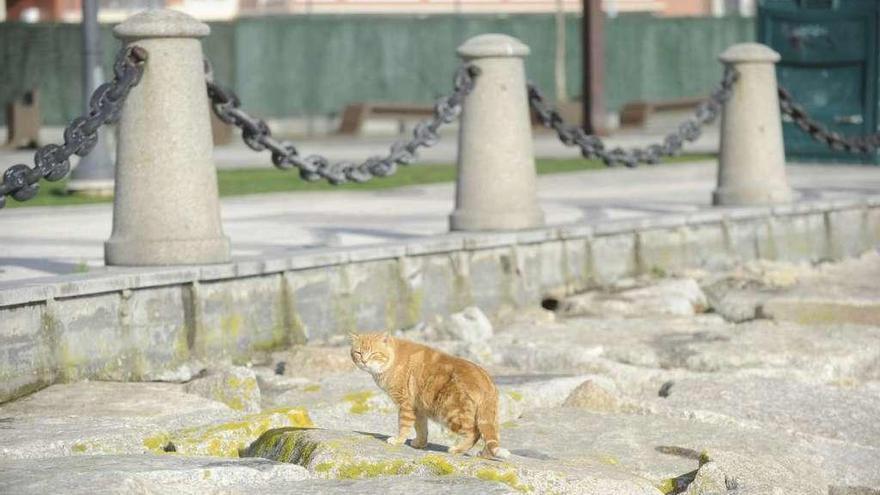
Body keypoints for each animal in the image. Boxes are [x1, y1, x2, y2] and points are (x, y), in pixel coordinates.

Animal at [348, 332, 508, 460]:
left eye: (374, 353)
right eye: (358, 353)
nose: (364, 361)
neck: (392, 361)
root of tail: (486, 380)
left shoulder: (405, 404)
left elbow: (404, 426)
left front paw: (398, 440)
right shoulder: (418, 408)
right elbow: (421, 428)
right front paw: (420, 444)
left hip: (451, 413)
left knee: (474, 433)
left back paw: (456, 449)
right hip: (489, 418)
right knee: (492, 438)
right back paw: (483, 455)